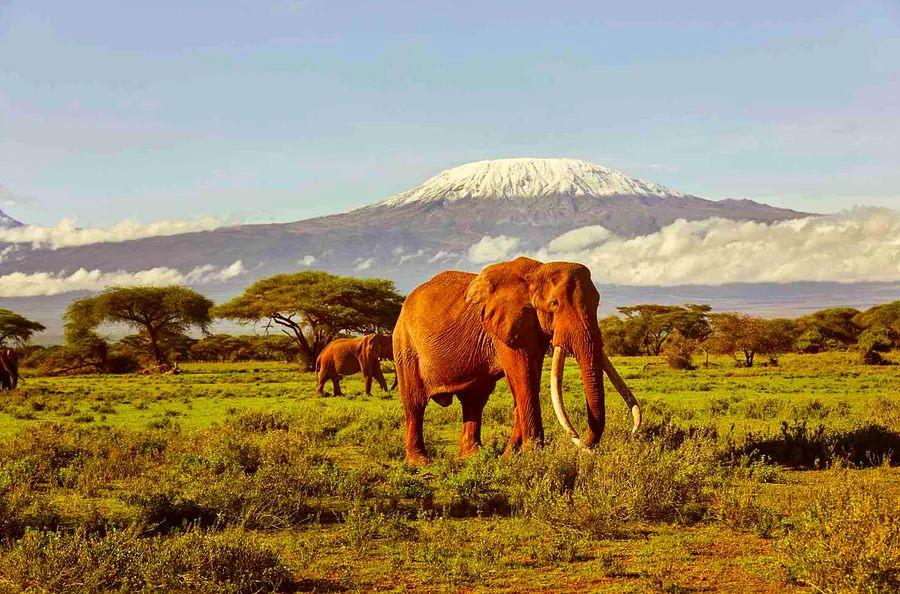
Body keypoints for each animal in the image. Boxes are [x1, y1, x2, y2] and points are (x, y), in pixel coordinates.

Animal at [393, 256, 641, 464]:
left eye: (597, 303)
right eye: (554, 304)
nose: (586, 445)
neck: (537, 272)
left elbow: (529, 378)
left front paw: (510, 456)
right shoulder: (505, 326)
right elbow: (524, 378)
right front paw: (533, 454)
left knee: (474, 401)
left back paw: (473, 457)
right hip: (404, 344)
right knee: (415, 403)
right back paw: (420, 462)